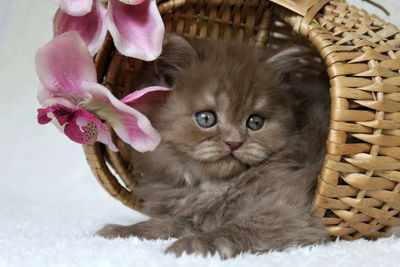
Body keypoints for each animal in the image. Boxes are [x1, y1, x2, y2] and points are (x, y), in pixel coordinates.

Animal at [95, 35, 330, 260]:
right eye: (206, 118)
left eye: (255, 122)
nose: (234, 142)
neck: (212, 185)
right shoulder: (187, 214)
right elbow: (162, 224)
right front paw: (122, 231)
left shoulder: (290, 208)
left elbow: (240, 226)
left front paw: (196, 244)